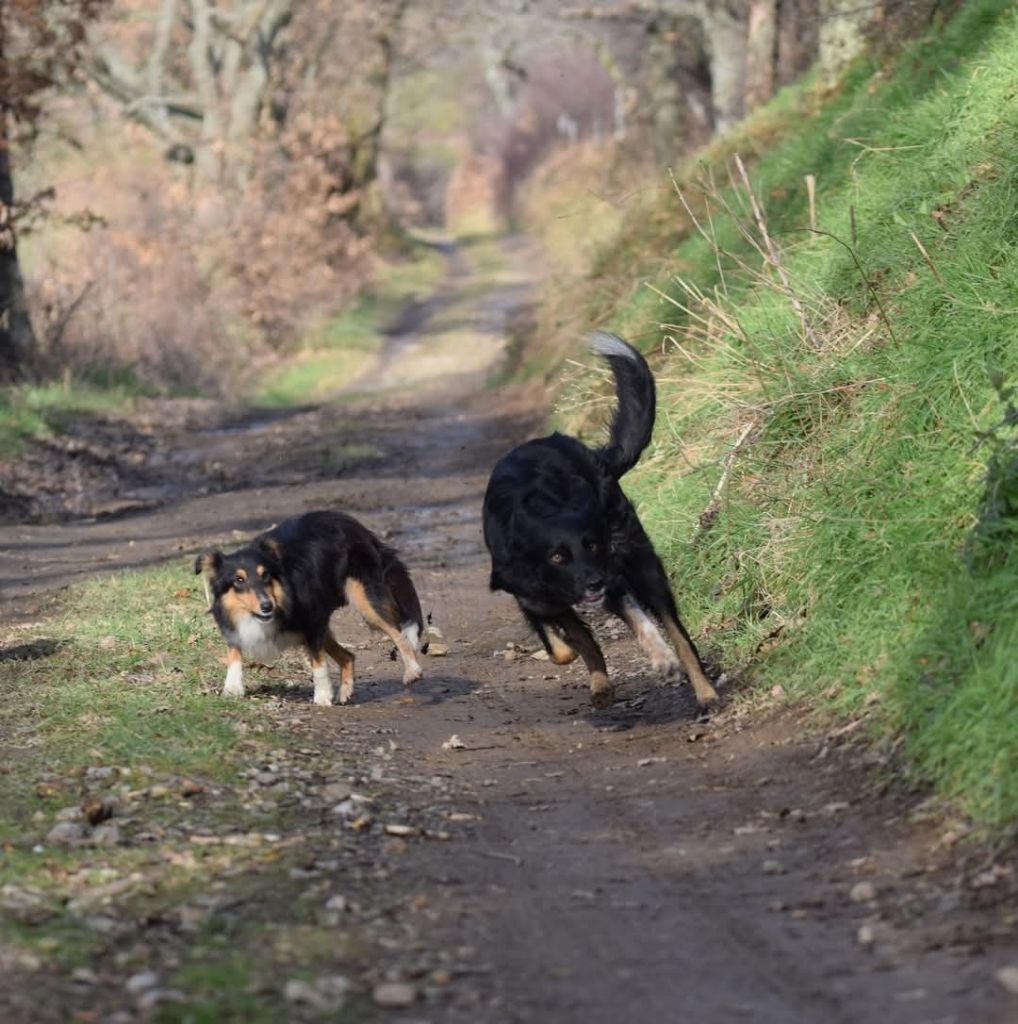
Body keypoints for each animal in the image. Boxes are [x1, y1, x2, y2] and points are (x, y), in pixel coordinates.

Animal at [196, 512, 421, 704]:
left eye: (265, 575)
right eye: (239, 580)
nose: (267, 606)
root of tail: (357, 526)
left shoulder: (313, 622)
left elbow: (318, 661)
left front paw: (321, 696)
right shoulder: (233, 623)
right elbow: (234, 652)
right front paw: (232, 687)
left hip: (364, 599)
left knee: (397, 632)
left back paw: (412, 671)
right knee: (348, 656)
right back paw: (345, 690)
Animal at [481, 331, 712, 708]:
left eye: (591, 545)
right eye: (557, 556)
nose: (593, 583)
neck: (547, 507)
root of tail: (595, 458)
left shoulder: (610, 571)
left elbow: (634, 623)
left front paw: (662, 660)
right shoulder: (529, 593)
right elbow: (569, 645)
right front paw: (598, 678)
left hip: (638, 559)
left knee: (675, 631)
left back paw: (703, 689)